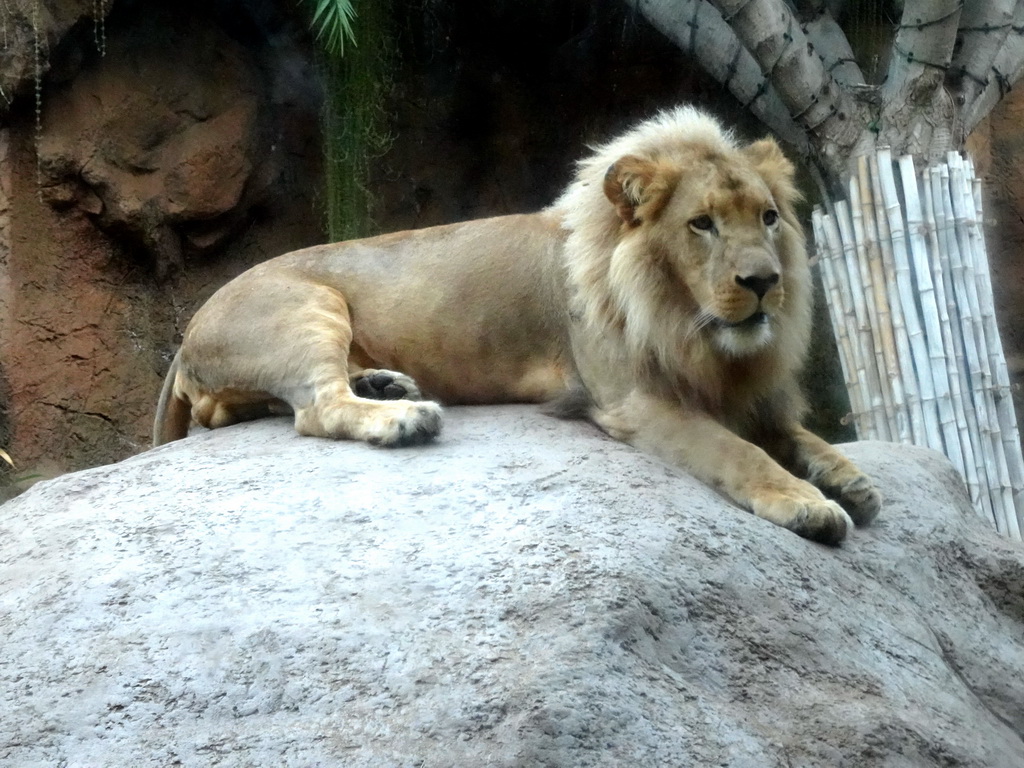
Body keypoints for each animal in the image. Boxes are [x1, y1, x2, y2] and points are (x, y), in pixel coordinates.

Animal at [151, 105, 880, 544]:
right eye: (701, 224)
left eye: (768, 218)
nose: (764, 283)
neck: (691, 327)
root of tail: (188, 331)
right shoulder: (635, 400)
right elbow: (739, 451)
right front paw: (808, 503)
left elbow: (794, 433)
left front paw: (849, 478)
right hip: (308, 307)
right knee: (316, 410)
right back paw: (405, 417)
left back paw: (388, 385)